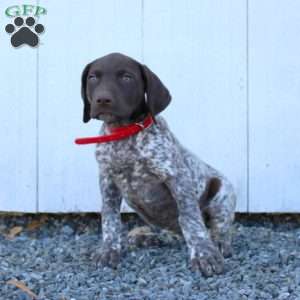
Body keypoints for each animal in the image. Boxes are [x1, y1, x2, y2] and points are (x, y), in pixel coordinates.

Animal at [79, 51, 237, 276]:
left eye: (127, 77)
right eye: (93, 77)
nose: (102, 99)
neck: (124, 133)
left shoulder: (176, 177)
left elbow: (190, 219)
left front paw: (203, 254)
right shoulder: (107, 181)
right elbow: (110, 219)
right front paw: (109, 250)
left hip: (222, 192)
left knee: (218, 228)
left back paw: (219, 243)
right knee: (174, 235)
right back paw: (149, 238)